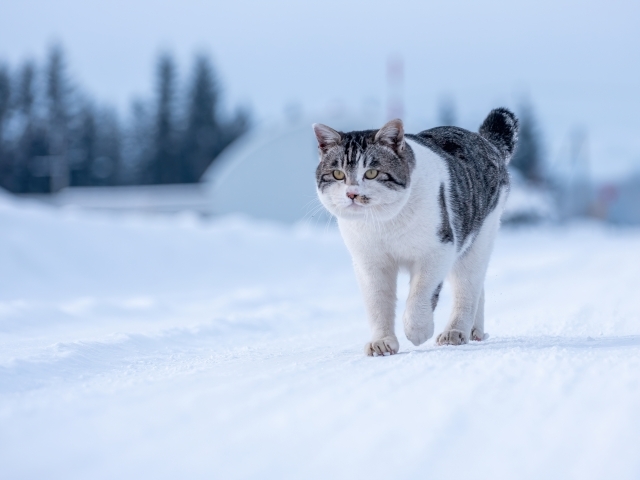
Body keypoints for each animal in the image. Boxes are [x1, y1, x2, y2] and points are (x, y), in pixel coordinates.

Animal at [312, 109, 516, 356]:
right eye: (338, 174)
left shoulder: (439, 249)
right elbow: (377, 302)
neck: (383, 224)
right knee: (478, 288)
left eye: (371, 173)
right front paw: (382, 342)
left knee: (467, 287)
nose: (352, 193)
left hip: (478, 239)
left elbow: (421, 293)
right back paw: (474, 331)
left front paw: (417, 331)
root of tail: (486, 142)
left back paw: (455, 332)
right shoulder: (368, 262)